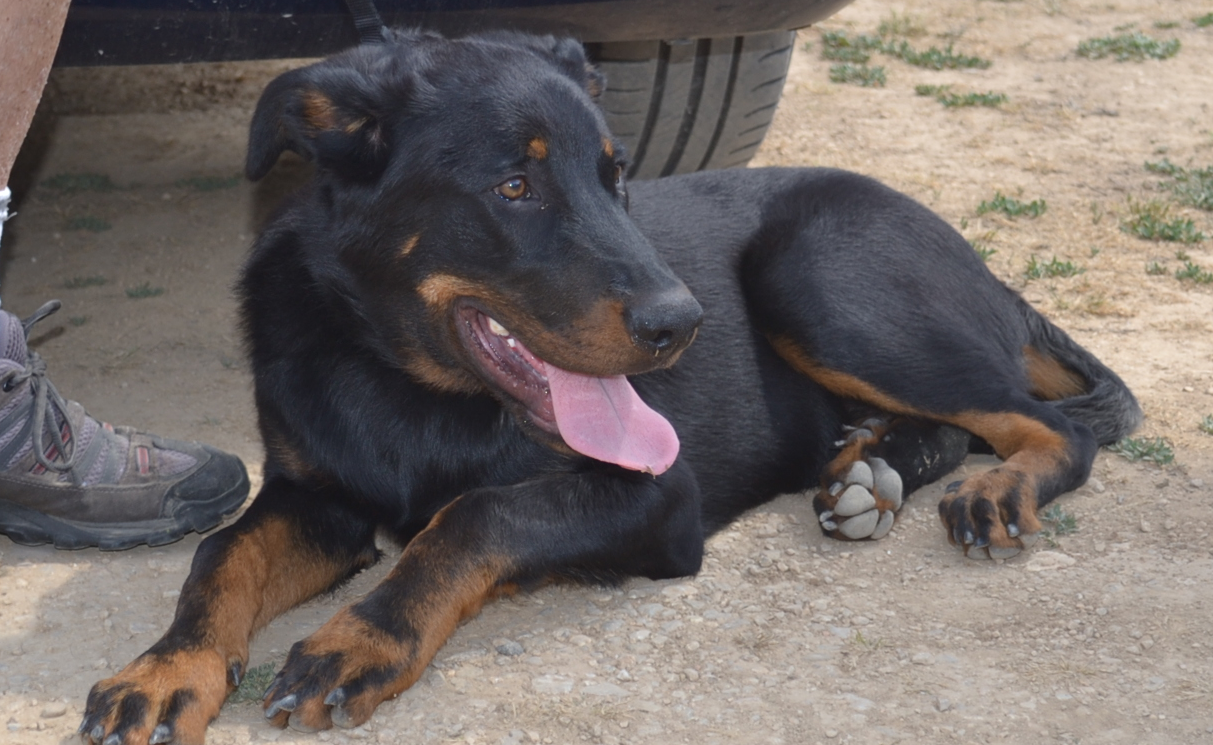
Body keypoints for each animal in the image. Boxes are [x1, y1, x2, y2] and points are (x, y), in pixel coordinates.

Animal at [80, 26, 1140, 742]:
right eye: (514, 186)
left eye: (616, 173)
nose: (685, 323)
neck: (402, 378)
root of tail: (982, 265)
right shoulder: (317, 497)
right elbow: (220, 554)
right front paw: (166, 667)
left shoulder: (658, 493)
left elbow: (473, 515)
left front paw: (363, 636)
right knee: (957, 425)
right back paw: (863, 473)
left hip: (816, 275)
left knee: (1050, 425)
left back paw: (990, 487)